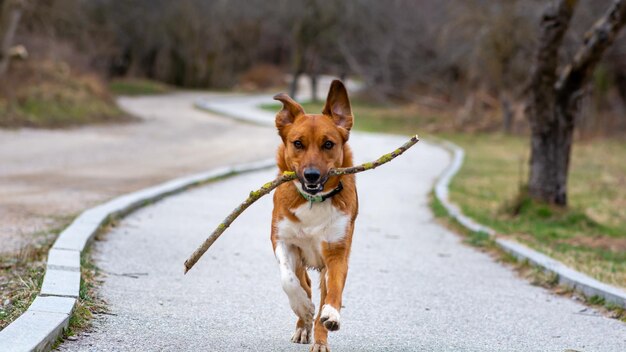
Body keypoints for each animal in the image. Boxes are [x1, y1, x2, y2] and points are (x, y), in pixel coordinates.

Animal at [268, 80, 356, 352]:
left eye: (329, 144)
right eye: (298, 143)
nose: (312, 175)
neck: (313, 202)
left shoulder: (337, 252)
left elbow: (334, 291)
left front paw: (330, 316)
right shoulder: (283, 241)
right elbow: (288, 281)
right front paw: (303, 308)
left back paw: (318, 335)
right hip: (299, 258)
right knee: (302, 282)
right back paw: (302, 323)